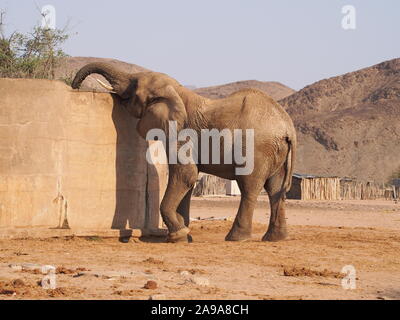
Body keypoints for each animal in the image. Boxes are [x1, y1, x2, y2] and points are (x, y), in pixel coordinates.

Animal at [71, 63, 296, 242]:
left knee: (249, 187)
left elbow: (185, 174)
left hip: (257, 148)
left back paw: (236, 238)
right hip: (276, 150)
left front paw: (177, 236)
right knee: (276, 189)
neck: (177, 91)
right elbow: (188, 180)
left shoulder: (180, 135)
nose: (75, 87)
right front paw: (186, 235)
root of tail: (288, 128)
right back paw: (275, 239)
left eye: (134, 84)